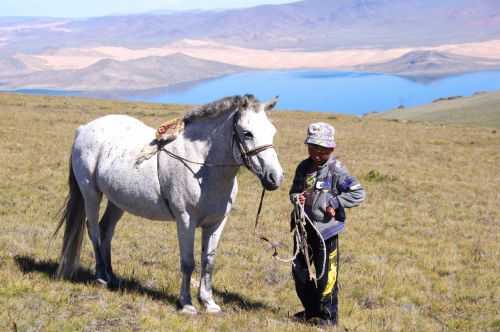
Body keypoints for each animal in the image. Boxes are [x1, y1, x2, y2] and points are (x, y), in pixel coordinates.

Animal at [54, 94, 284, 314]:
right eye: (247, 133)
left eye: (272, 132)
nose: (275, 177)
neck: (202, 166)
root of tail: (83, 129)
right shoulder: (185, 220)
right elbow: (188, 262)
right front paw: (187, 304)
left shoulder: (217, 223)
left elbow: (208, 262)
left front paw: (209, 303)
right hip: (91, 193)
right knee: (93, 228)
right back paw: (101, 276)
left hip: (117, 200)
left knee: (106, 230)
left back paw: (111, 276)